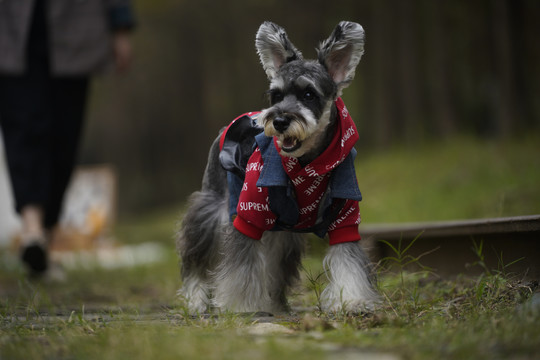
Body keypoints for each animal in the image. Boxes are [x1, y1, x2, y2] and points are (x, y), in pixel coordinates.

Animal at [177, 21, 380, 314]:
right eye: (276, 95)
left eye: (309, 94)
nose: (280, 121)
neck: (308, 164)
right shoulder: (248, 215)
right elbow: (241, 265)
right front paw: (240, 304)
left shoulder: (345, 216)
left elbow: (348, 260)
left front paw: (354, 300)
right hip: (212, 208)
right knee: (197, 257)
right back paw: (196, 299)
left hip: (281, 232)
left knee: (272, 264)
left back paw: (273, 301)